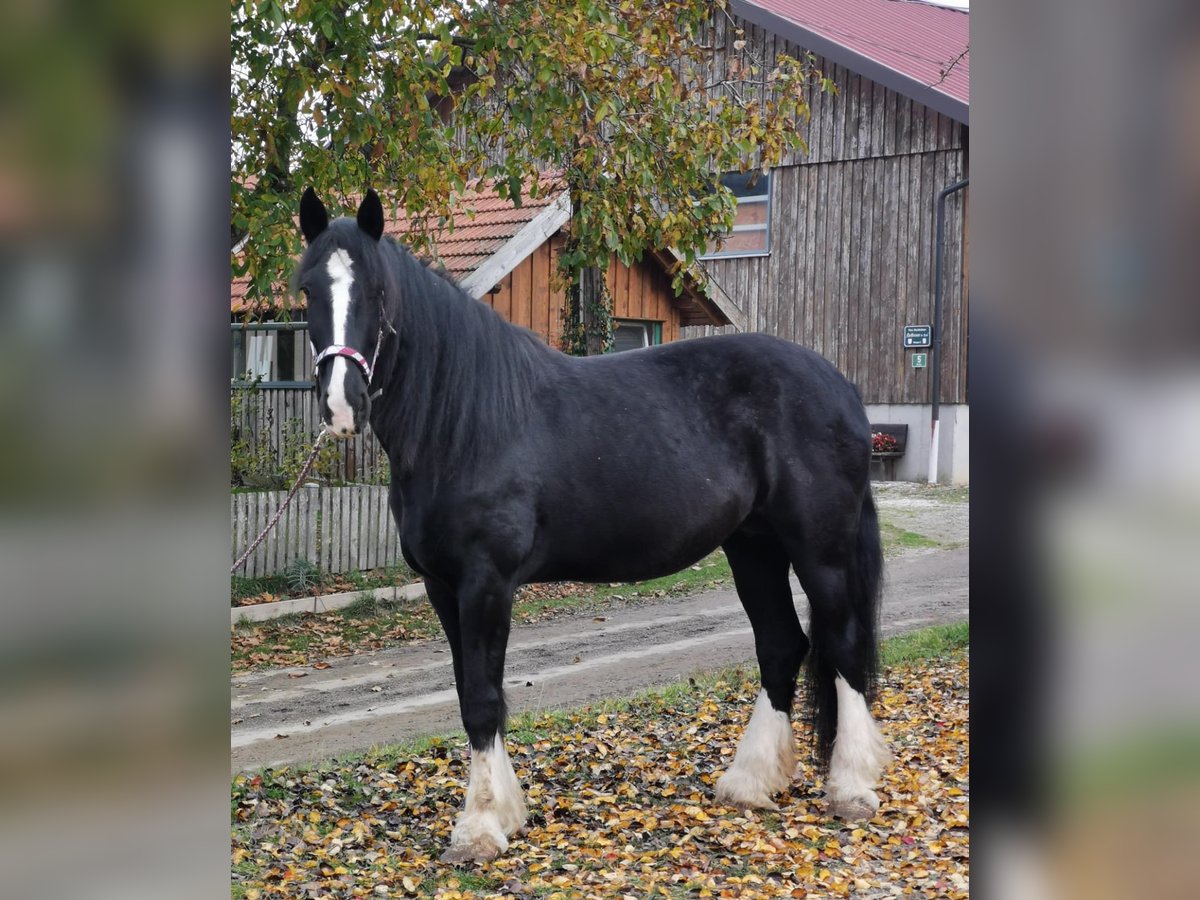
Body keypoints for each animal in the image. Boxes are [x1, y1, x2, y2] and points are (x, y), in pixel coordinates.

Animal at [296, 187, 890, 863]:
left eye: (377, 291)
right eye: (309, 290)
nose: (343, 406)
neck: (466, 421)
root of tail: (840, 386)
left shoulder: (486, 582)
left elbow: (483, 699)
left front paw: (479, 828)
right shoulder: (443, 587)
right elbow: (472, 691)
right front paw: (506, 812)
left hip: (821, 551)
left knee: (840, 644)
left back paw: (850, 789)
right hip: (754, 548)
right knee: (781, 644)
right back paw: (749, 783)